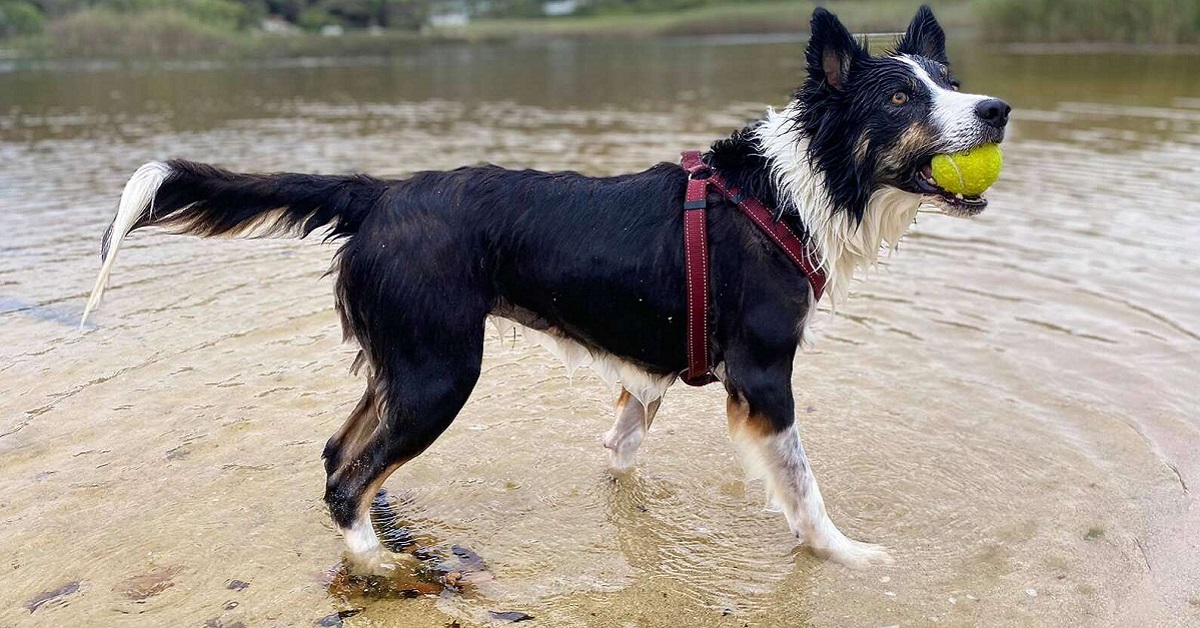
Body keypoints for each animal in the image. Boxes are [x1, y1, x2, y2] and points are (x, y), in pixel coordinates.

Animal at [79, 4, 1008, 571]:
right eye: (900, 96)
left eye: (952, 83)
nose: (996, 110)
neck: (789, 189)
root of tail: (379, 193)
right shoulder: (762, 378)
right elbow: (805, 490)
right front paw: (845, 556)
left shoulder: (653, 374)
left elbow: (624, 448)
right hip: (439, 373)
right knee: (347, 480)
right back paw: (378, 563)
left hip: (402, 365)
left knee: (340, 456)